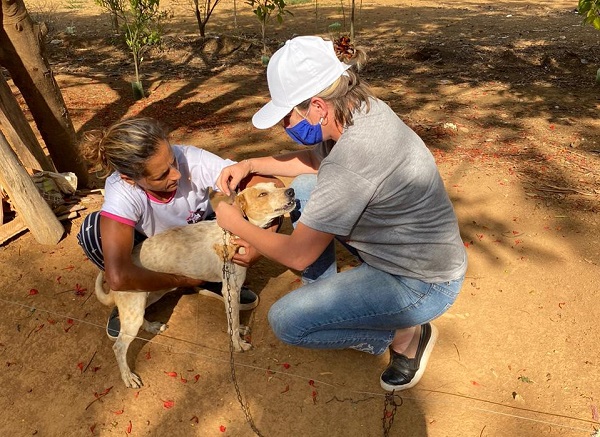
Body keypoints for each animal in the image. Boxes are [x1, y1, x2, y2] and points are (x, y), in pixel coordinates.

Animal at [93, 182, 296, 386]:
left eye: (275, 185)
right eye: (262, 194)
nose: (291, 191)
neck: (233, 232)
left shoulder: (232, 291)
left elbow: (233, 318)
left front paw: (239, 330)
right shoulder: (230, 289)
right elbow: (233, 323)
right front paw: (238, 344)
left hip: (150, 294)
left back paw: (151, 327)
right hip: (134, 308)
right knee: (119, 346)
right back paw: (127, 376)